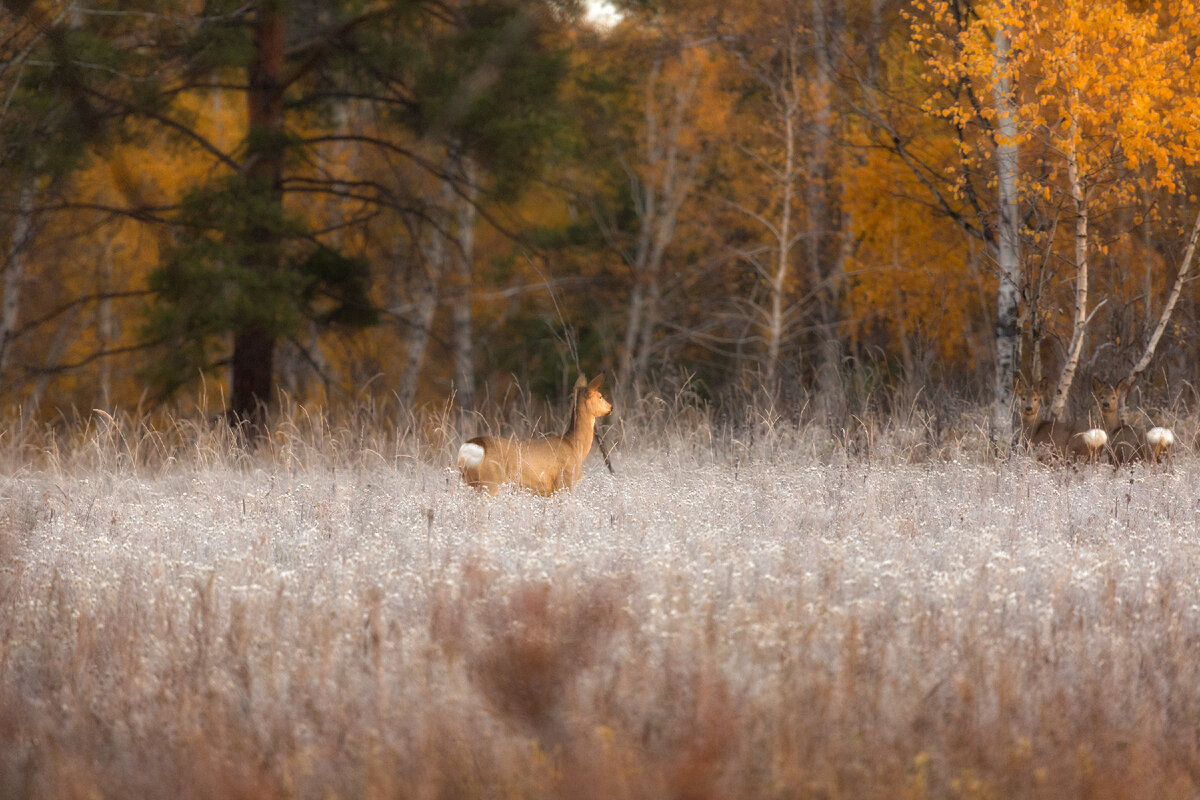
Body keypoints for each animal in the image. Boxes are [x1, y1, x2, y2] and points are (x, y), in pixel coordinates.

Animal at [456, 374, 614, 494]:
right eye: (600, 396)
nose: (611, 407)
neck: (574, 444)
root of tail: (471, 446)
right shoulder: (565, 481)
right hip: (490, 482)